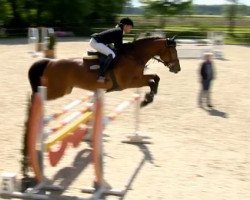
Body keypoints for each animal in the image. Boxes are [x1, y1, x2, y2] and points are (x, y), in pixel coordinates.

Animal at [28, 36, 181, 107]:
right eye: (173, 51)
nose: (177, 69)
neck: (134, 56)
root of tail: (50, 62)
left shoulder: (139, 77)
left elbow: (155, 77)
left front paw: (149, 97)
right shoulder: (129, 83)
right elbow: (151, 80)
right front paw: (147, 99)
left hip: (64, 90)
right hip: (57, 91)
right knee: (38, 95)